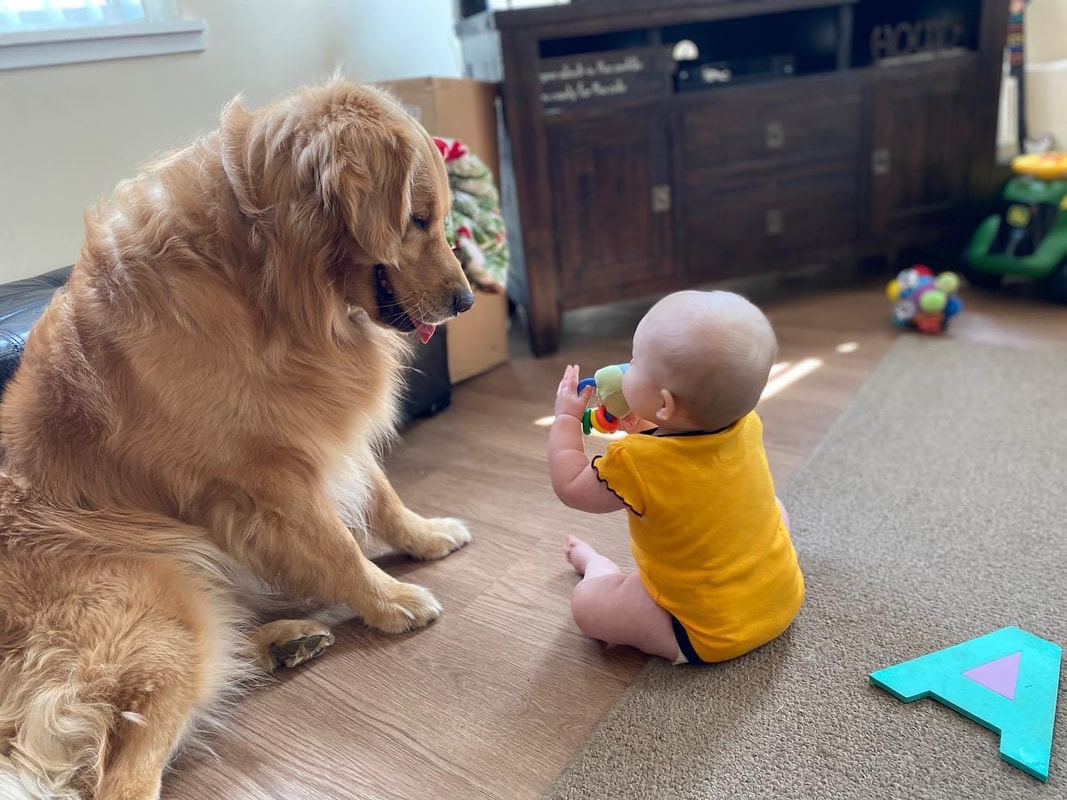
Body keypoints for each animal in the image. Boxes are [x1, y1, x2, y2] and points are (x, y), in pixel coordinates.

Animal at [0, 76, 475, 800]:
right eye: (418, 220)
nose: (467, 302)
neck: (259, 274)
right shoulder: (266, 480)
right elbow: (337, 546)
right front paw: (389, 599)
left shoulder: (321, 429)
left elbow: (382, 494)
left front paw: (424, 536)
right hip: (163, 608)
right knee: (119, 775)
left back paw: (283, 641)